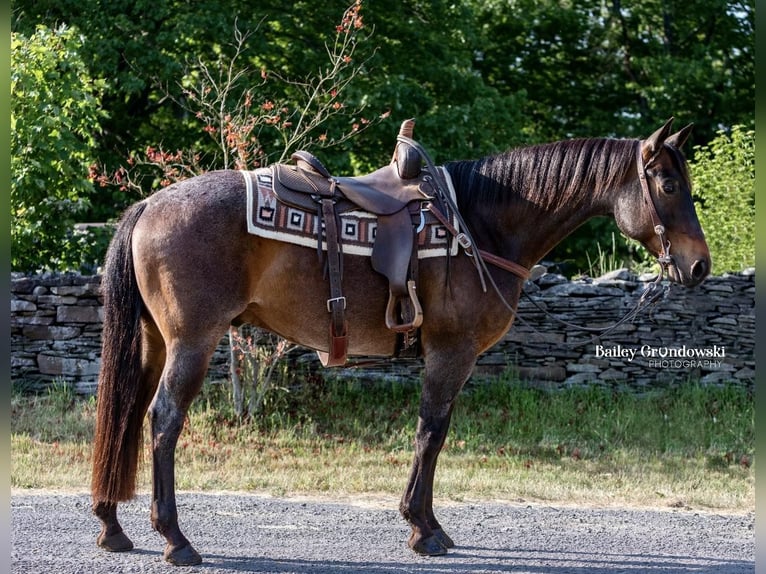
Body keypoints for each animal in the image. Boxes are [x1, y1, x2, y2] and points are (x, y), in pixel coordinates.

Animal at [90, 118, 712, 568]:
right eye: (668, 184)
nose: (700, 265)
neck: (480, 226)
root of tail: (149, 205)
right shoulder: (451, 353)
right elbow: (431, 433)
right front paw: (422, 528)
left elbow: (432, 434)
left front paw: (426, 522)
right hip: (191, 342)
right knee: (163, 420)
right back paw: (175, 538)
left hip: (152, 342)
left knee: (126, 412)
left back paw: (111, 524)